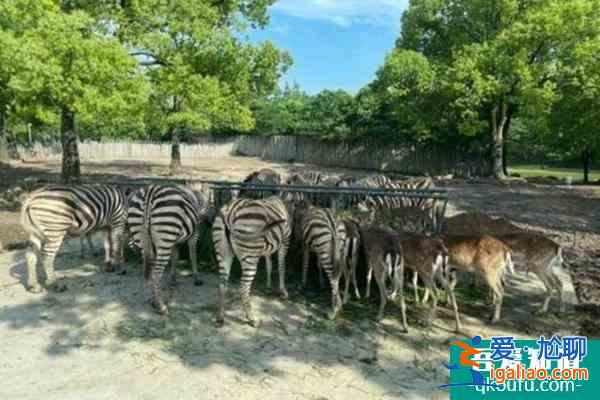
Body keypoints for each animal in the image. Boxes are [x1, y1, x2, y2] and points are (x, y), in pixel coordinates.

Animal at [127, 184, 210, 316]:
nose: (209, 223)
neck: (196, 197)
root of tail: (150, 192)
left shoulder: (173, 241)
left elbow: (175, 257)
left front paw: (173, 279)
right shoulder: (194, 233)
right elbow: (193, 254)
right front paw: (196, 277)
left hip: (144, 238)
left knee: (149, 269)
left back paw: (153, 299)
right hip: (165, 235)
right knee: (156, 274)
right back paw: (161, 306)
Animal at [213, 195, 292, 326]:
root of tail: (229, 212)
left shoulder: (267, 248)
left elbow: (269, 265)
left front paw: (268, 287)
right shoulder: (285, 241)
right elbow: (282, 266)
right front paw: (283, 292)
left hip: (223, 252)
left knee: (221, 284)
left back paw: (220, 317)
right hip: (250, 254)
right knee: (243, 288)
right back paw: (252, 319)